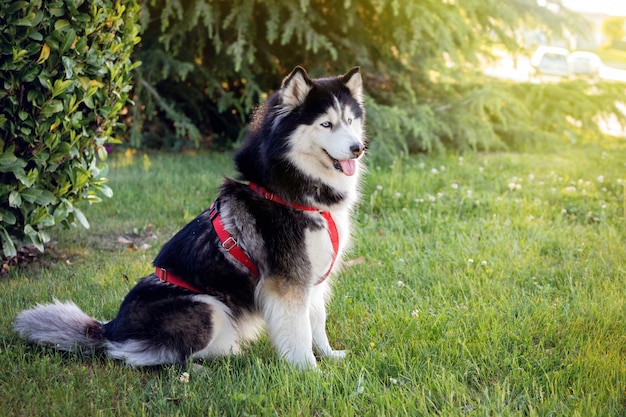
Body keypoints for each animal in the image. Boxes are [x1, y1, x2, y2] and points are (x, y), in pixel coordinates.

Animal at [13, 66, 366, 368]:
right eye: (326, 124)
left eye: (350, 120)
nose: (358, 148)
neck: (294, 189)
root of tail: (110, 330)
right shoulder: (287, 282)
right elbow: (298, 333)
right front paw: (309, 372)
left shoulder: (313, 278)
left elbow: (316, 322)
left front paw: (329, 356)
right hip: (207, 307)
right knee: (151, 358)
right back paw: (201, 369)